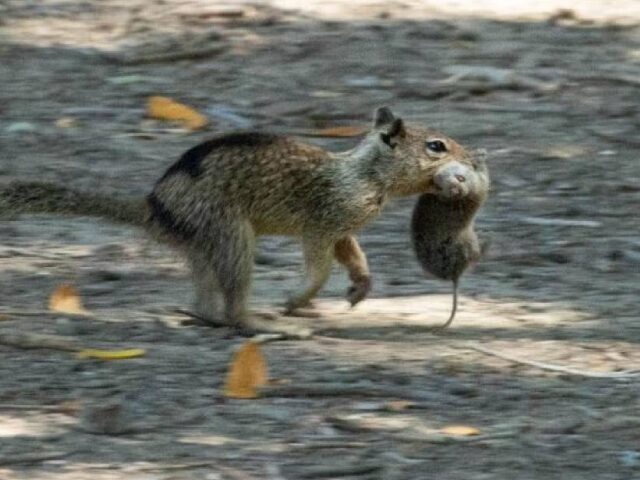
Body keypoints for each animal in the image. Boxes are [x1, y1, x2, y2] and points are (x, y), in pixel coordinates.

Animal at [0, 108, 480, 334]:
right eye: (437, 146)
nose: (473, 159)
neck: (365, 173)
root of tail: (153, 207)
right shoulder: (323, 221)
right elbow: (321, 265)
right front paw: (296, 297)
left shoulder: (342, 227)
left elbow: (352, 253)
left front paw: (360, 287)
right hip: (230, 233)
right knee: (232, 304)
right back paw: (260, 322)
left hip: (203, 245)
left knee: (205, 301)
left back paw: (207, 316)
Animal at [410, 151, 490, 330]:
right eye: (439, 185)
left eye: (461, 178)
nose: (456, 190)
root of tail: (455, 275)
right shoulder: (480, 184)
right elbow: (484, 174)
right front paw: (479, 155)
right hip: (469, 244)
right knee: (476, 256)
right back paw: (487, 240)